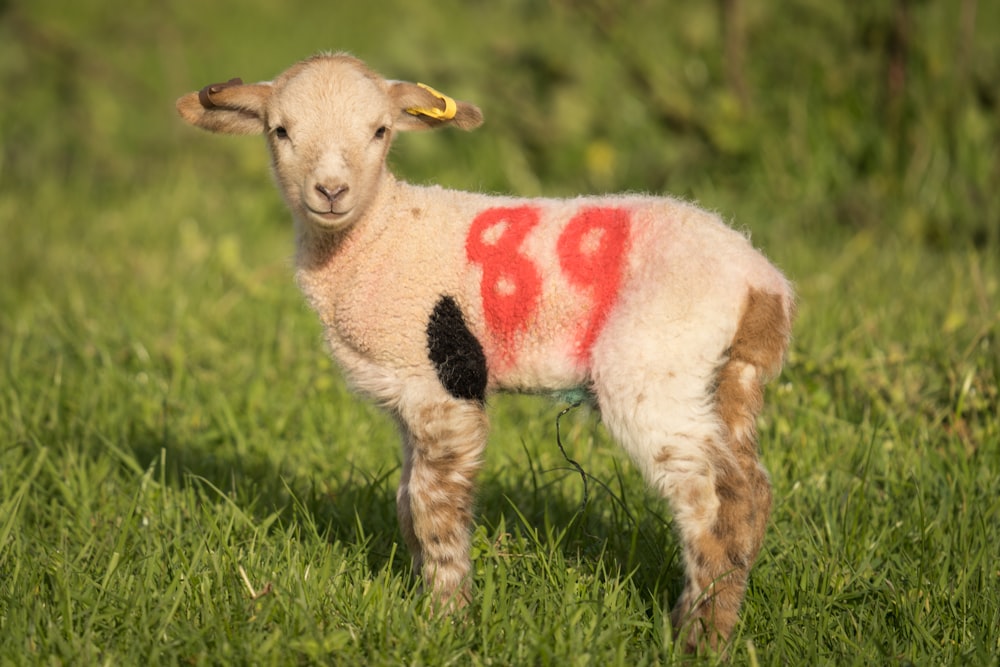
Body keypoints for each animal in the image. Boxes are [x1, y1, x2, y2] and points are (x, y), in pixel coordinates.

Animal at [176, 52, 792, 652]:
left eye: (379, 131)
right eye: (280, 131)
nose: (331, 192)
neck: (379, 232)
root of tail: (761, 284)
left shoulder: (441, 383)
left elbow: (432, 509)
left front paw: (446, 619)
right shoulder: (405, 393)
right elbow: (405, 504)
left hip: (654, 365)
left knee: (711, 501)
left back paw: (697, 642)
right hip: (726, 377)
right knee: (750, 491)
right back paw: (715, 620)